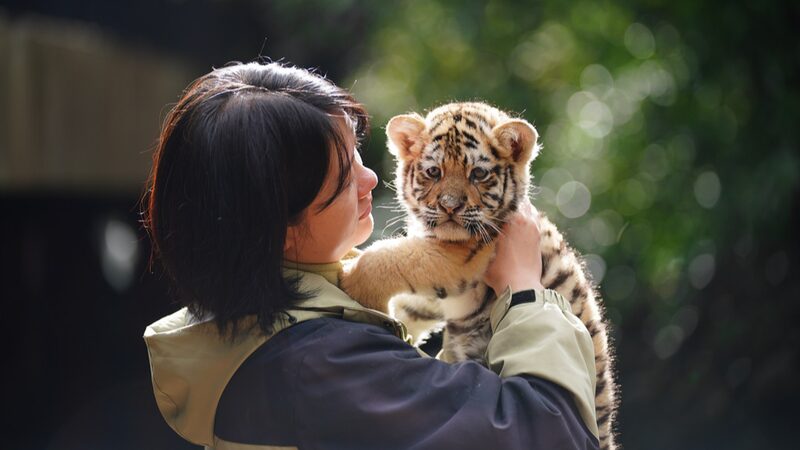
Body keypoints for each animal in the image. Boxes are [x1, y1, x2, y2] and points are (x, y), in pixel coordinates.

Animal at [340, 102, 617, 449]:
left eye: (478, 174)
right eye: (434, 172)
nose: (450, 207)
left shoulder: (460, 256)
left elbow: (395, 255)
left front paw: (351, 280)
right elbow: (410, 303)